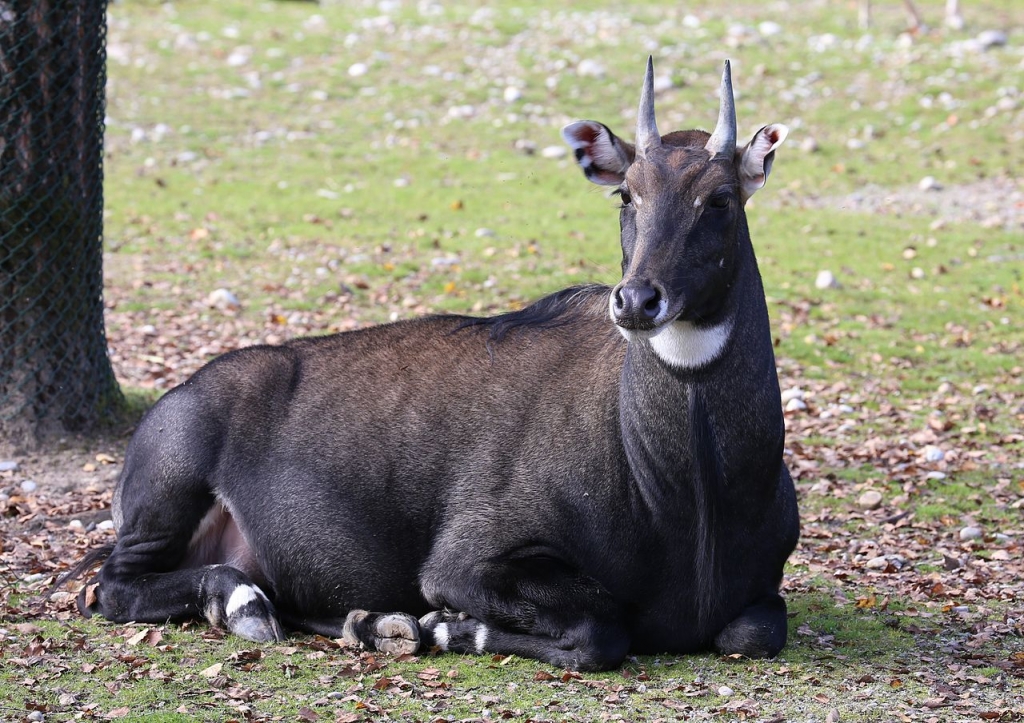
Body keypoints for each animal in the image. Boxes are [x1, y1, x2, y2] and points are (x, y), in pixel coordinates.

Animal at [66, 57, 798, 671]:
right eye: (627, 194)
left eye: (720, 199)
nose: (638, 300)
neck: (688, 498)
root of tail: (178, 394)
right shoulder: (464, 563)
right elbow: (600, 631)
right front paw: (447, 625)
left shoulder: (762, 592)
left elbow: (755, 628)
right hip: (163, 504)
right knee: (111, 586)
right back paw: (250, 602)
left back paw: (369, 621)